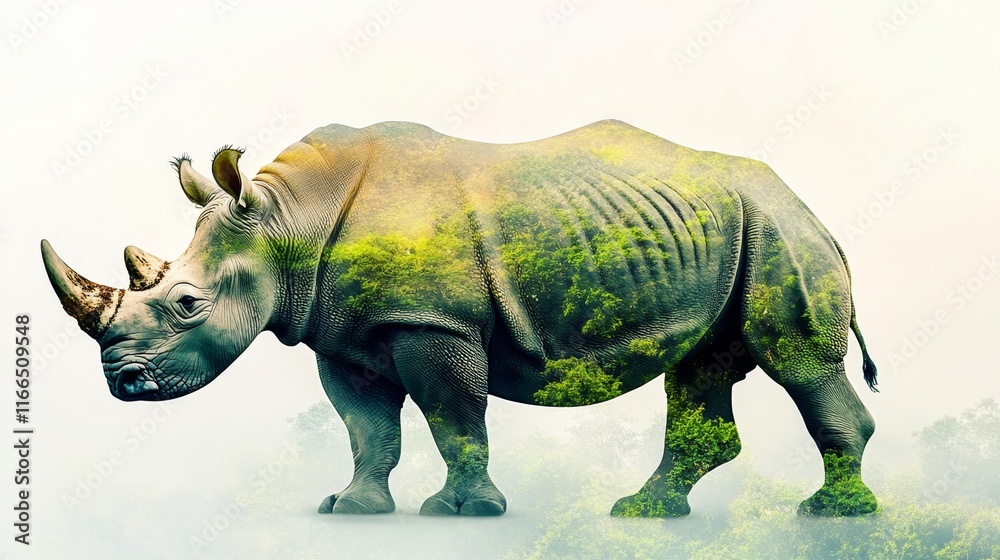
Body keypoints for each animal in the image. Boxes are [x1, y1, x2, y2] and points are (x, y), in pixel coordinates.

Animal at [41, 120, 879, 517]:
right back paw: (646, 514)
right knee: (700, 369)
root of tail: (808, 202)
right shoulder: (343, 334)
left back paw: (833, 516)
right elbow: (368, 429)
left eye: (187, 305)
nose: (124, 383)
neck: (287, 223)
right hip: (728, 231)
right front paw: (352, 509)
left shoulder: (433, 323)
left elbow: (453, 418)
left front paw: (464, 512)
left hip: (776, 231)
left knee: (797, 361)